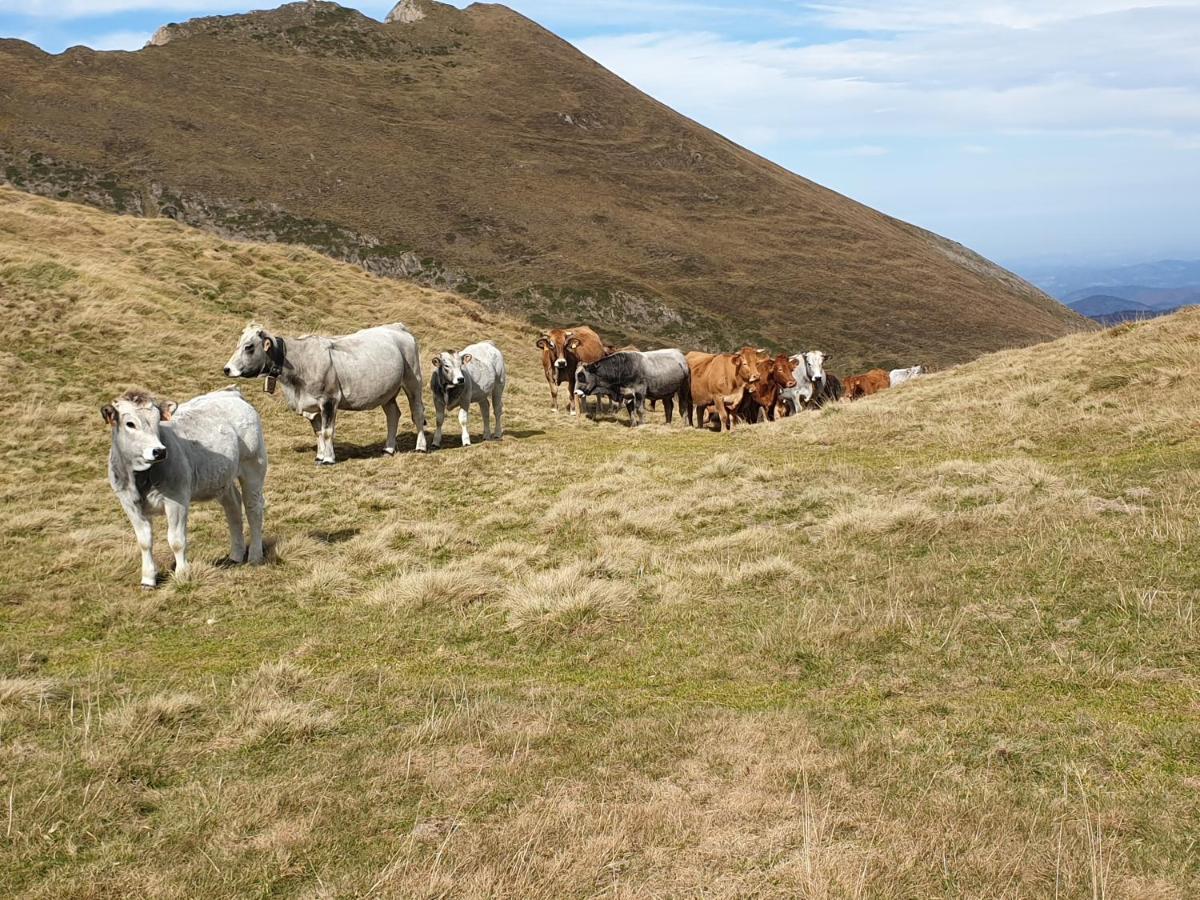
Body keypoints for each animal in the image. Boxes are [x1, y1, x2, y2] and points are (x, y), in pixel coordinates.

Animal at [103, 388, 267, 592]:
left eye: (158, 421)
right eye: (130, 423)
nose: (159, 451)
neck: (139, 478)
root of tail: (230, 392)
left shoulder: (176, 499)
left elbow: (176, 540)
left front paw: (182, 575)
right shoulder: (129, 503)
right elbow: (144, 541)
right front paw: (148, 579)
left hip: (253, 467)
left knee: (253, 509)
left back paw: (254, 555)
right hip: (221, 478)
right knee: (233, 508)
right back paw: (236, 555)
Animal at [224, 321, 427, 465]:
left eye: (249, 346)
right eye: (237, 344)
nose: (227, 369)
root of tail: (397, 327)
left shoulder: (329, 400)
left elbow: (328, 431)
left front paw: (329, 459)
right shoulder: (311, 406)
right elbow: (319, 432)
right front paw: (319, 456)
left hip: (413, 381)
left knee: (417, 413)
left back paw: (421, 447)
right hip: (388, 391)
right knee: (393, 414)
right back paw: (388, 449)